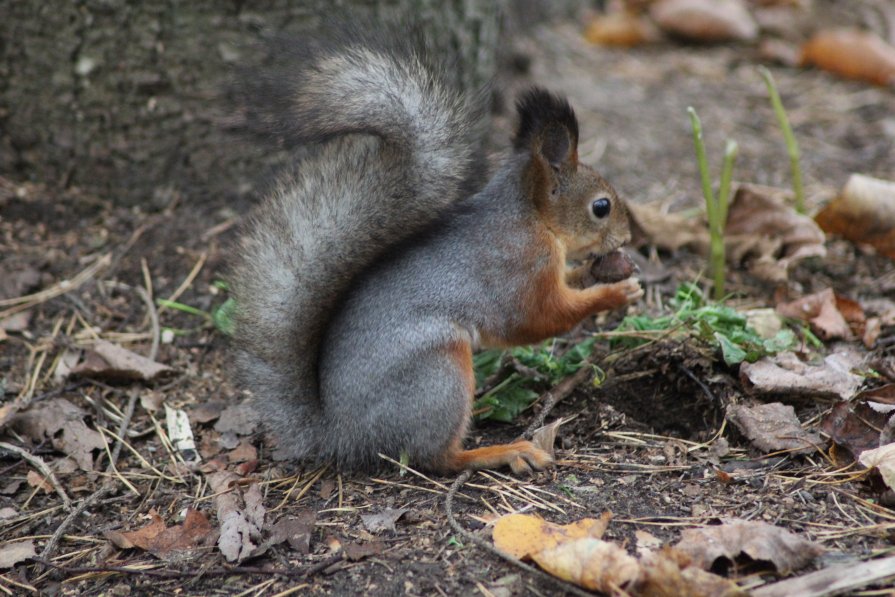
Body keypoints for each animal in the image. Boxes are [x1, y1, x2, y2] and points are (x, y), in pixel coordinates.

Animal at [228, 24, 640, 474]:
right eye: (601, 207)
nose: (628, 237)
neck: (531, 217)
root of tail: (343, 438)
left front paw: (602, 271)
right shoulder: (521, 266)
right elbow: (540, 318)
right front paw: (615, 293)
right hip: (438, 371)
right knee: (437, 457)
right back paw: (503, 451)